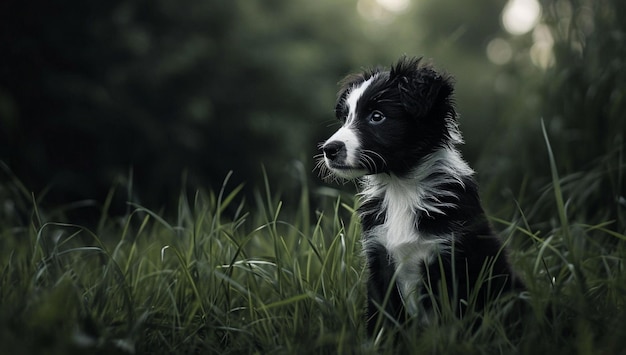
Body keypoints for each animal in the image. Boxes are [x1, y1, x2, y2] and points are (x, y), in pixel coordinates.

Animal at [316, 57, 520, 338]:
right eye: (346, 117)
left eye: (377, 116)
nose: (329, 150)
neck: (401, 187)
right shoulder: (379, 261)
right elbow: (382, 322)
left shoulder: (453, 262)